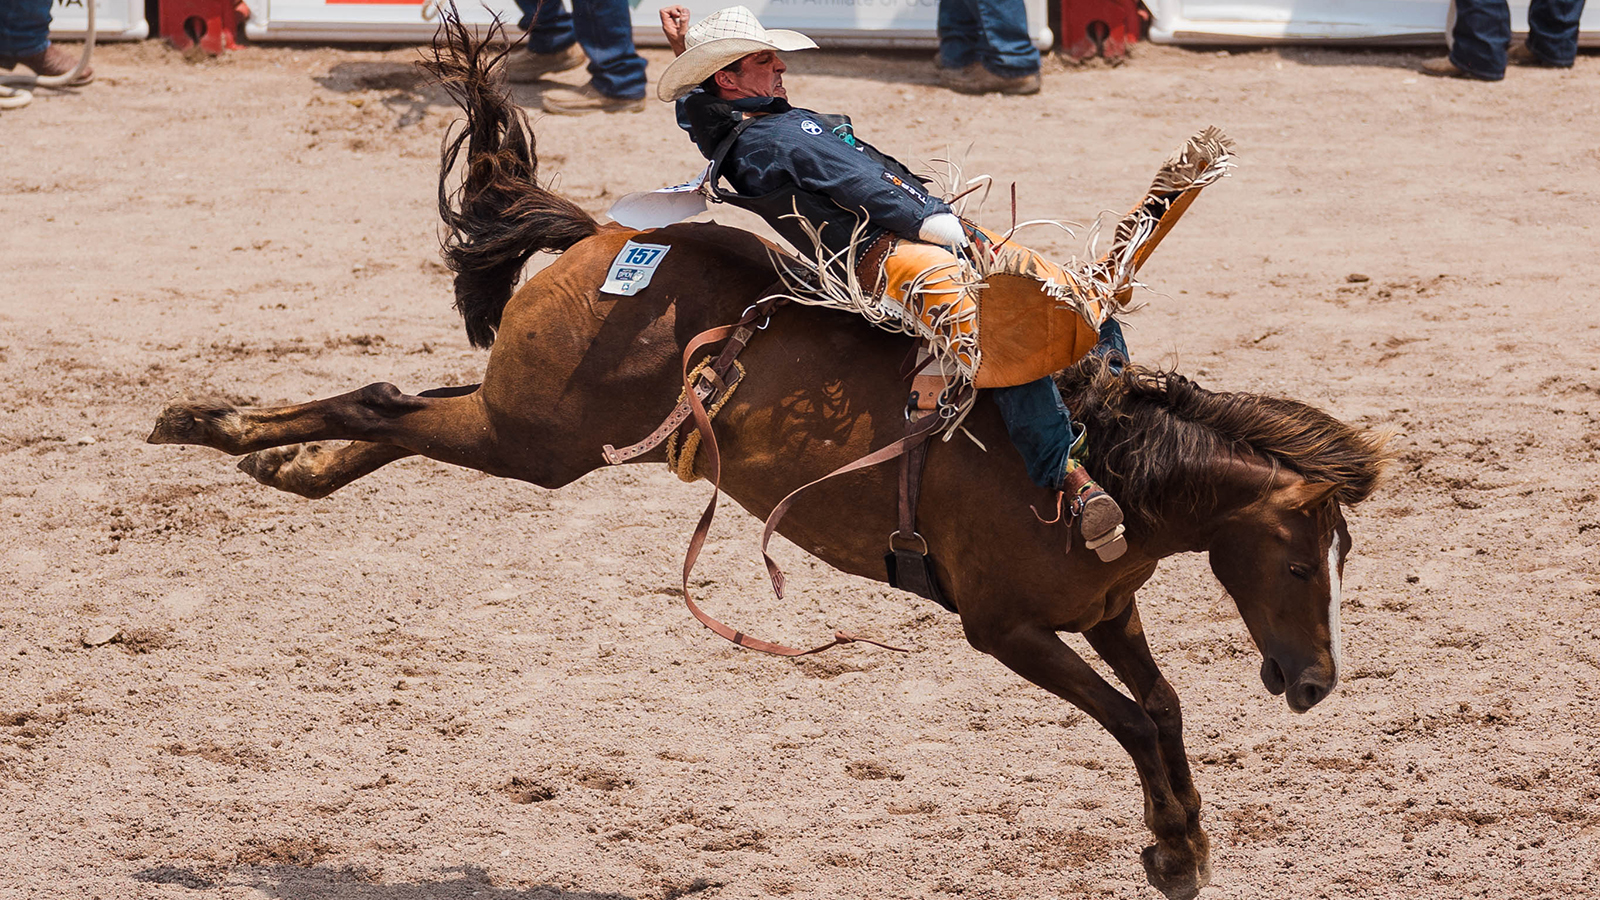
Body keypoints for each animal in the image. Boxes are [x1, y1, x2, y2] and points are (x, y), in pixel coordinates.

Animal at [152, 15, 1401, 896]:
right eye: (1301, 562)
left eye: (1343, 562)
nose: (1312, 683)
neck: (1106, 468)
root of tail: (606, 239)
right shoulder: (1004, 626)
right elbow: (1137, 720)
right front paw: (1178, 855)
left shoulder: (1105, 611)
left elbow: (1166, 710)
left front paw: (1177, 842)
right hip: (535, 438)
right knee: (382, 401)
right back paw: (213, 429)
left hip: (530, 423)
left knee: (403, 406)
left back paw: (271, 462)